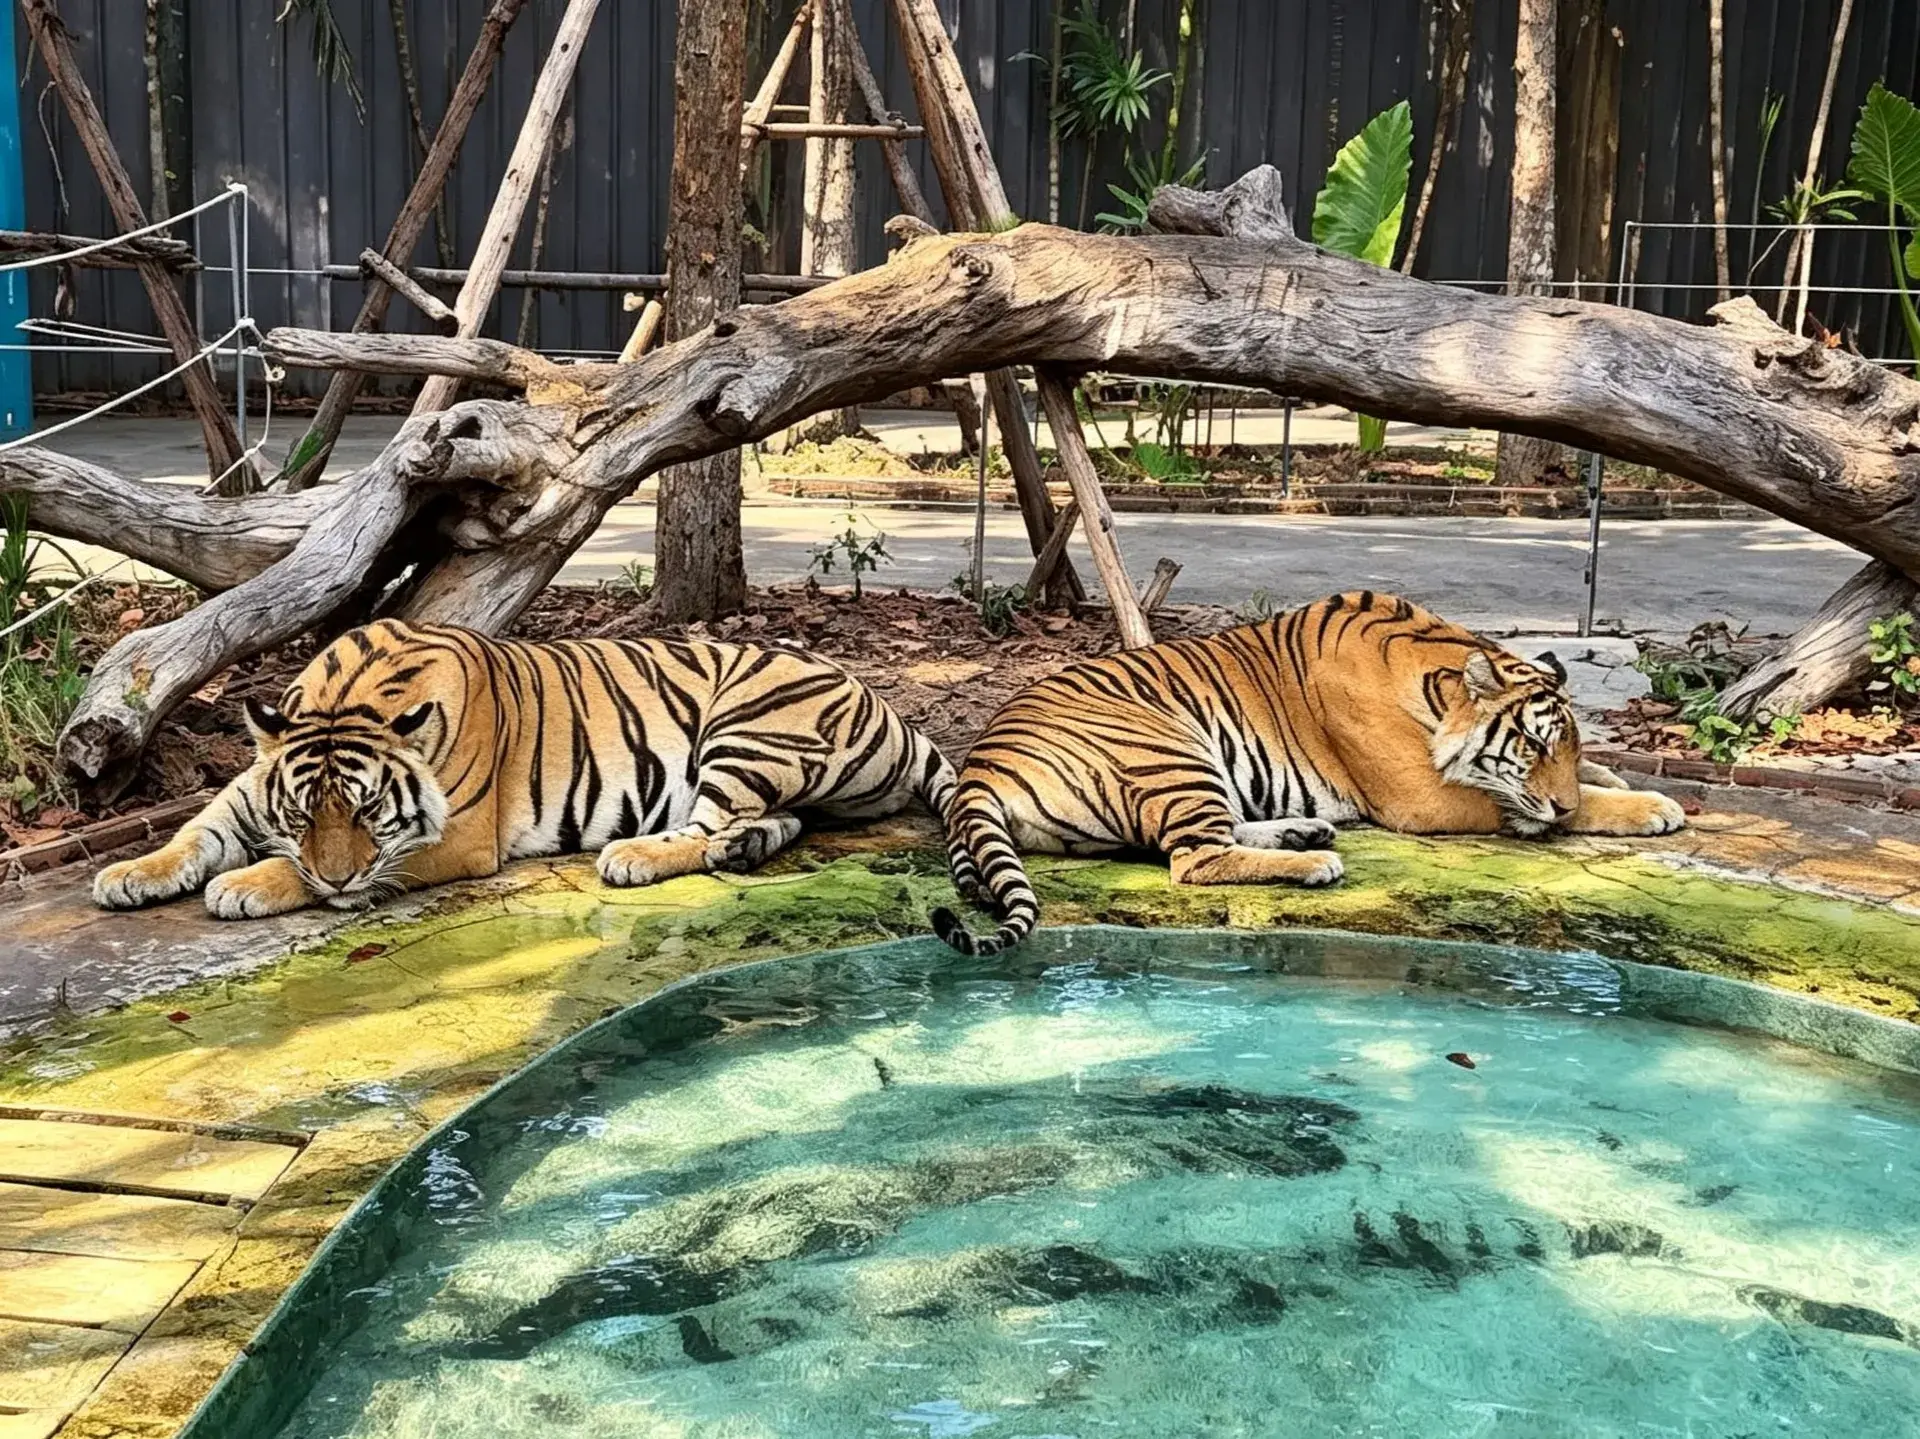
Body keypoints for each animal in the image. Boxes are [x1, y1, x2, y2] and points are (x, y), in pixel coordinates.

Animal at [94, 619, 957, 920]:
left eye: (369, 812)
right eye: (306, 813)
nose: (338, 878)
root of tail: (892, 708)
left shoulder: (459, 837)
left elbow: (299, 870)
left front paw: (245, 884)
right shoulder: (250, 788)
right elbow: (196, 830)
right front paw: (130, 871)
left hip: (750, 718)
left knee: (704, 822)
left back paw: (635, 855)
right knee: (772, 818)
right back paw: (741, 849)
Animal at [935, 590, 1685, 955]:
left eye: (1566, 745)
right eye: (1531, 744)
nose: (1558, 800)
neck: (1434, 675)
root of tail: (980, 763)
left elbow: (1595, 778)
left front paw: (1616, 780)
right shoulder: (1420, 797)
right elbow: (1521, 804)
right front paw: (1649, 806)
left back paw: (1305, 833)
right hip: (1170, 744)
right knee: (1193, 860)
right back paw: (1314, 863)